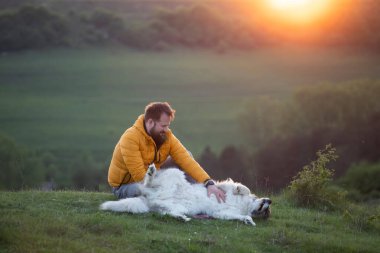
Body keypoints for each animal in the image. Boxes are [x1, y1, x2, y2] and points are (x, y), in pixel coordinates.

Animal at [99, 165, 272, 226]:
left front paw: (248, 220)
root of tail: (148, 198)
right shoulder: (223, 186)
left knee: (166, 213)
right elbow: (243, 188)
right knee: (147, 183)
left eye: (266, 211)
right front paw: (242, 191)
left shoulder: (223, 213)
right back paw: (151, 172)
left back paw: (181, 218)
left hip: (177, 206)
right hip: (174, 173)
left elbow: (240, 215)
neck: (244, 206)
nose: (269, 200)